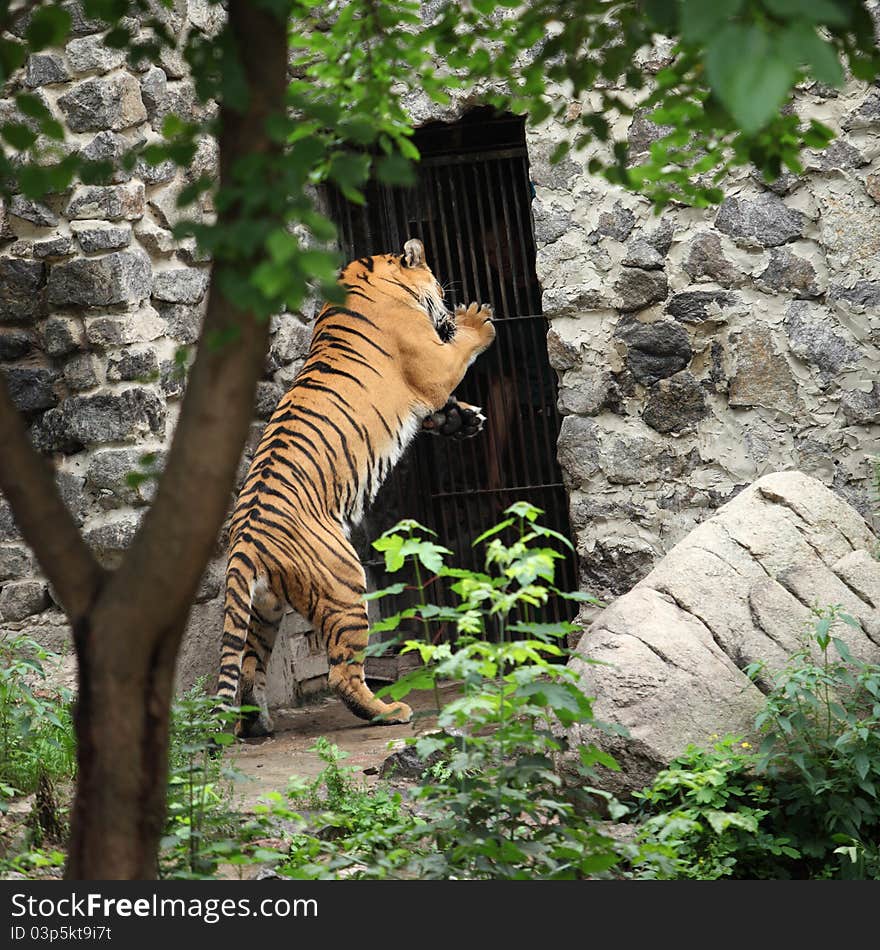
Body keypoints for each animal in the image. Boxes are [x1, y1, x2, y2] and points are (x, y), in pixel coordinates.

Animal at [216, 238, 496, 736]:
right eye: (440, 288)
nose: (447, 310)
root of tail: (246, 538)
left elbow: (441, 409)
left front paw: (464, 419)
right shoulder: (432, 365)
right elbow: (459, 351)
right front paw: (477, 319)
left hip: (263, 610)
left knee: (248, 667)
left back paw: (257, 726)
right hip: (345, 585)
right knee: (341, 673)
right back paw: (389, 712)